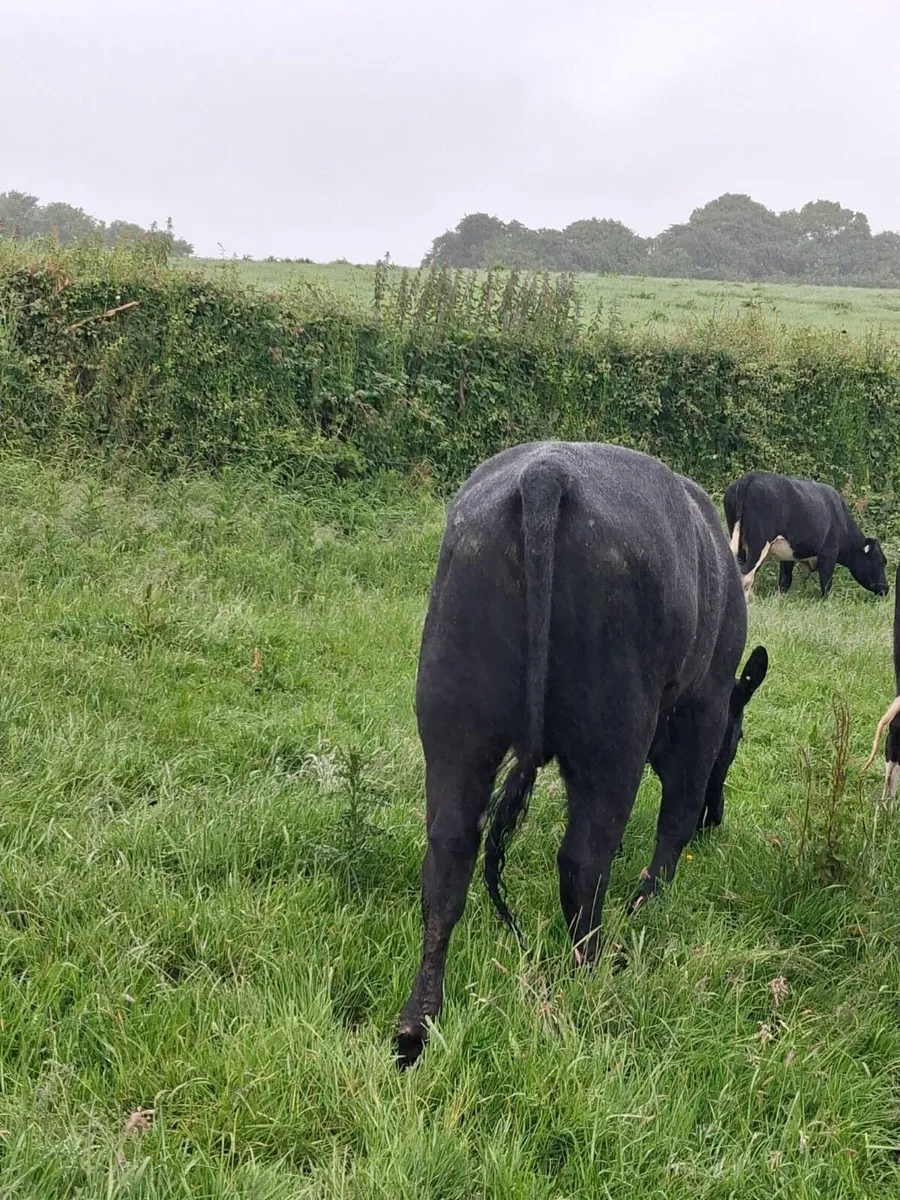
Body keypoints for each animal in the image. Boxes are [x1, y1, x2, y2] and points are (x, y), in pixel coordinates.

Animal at [394, 441, 768, 1070]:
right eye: (736, 742)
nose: (717, 820)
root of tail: (547, 473)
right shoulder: (708, 702)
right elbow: (676, 813)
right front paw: (649, 900)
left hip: (454, 721)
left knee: (447, 859)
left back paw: (416, 1027)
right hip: (613, 731)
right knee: (581, 861)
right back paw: (593, 981)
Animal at [724, 471, 888, 600]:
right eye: (881, 561)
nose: (886, 589)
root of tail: (749, 477)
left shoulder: (787, 554)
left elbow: (785, 580)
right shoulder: (829, 553)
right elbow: (826, 583)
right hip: (759, 543)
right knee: (746, 574)